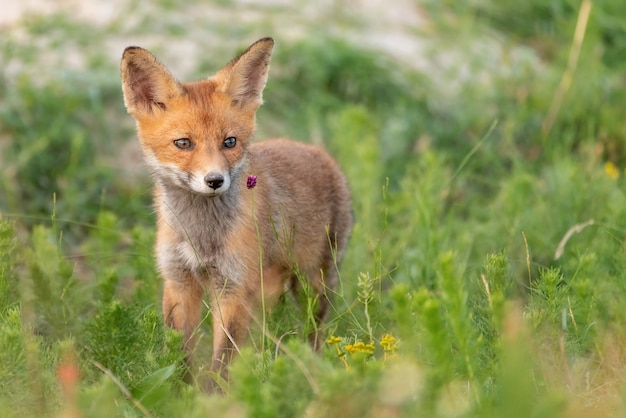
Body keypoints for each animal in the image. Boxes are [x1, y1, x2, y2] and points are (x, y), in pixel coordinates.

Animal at [117, 36, 352, 386]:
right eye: (183, 143)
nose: (214, 180)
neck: (201, 236)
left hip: (312, 282)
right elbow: (179, 351)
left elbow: (222, 360)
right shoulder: (178, 280)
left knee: (314, 333)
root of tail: (317, 151)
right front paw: (180, 390)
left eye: (229, 142)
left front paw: (212, 395)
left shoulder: (233, 287)